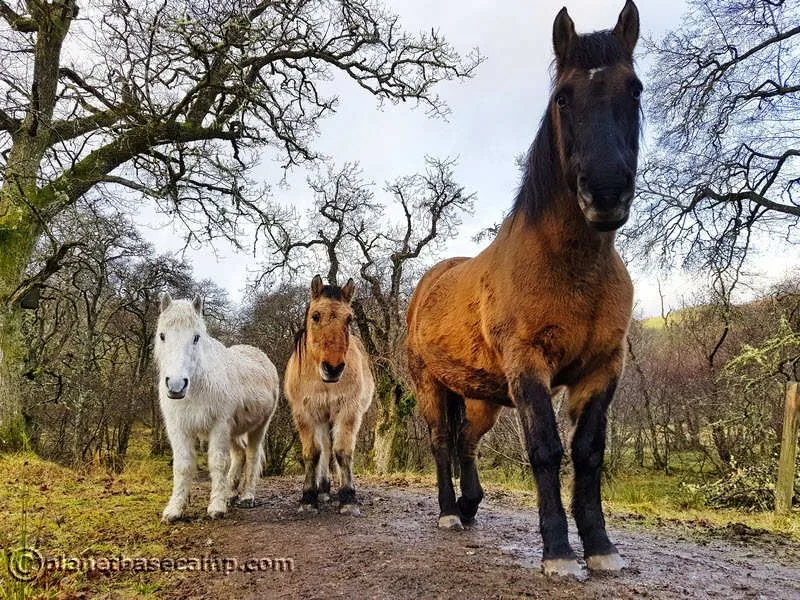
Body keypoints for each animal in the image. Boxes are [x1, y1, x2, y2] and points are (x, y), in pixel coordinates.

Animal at [155, 294, 279, 522]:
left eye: (196, 337)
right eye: (162, 336)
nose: (176, 385)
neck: (197, 386)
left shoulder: (219, 426)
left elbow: (218, 462)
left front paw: (217, 506)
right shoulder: (178, 428)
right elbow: (182, 465)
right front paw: (175, 509)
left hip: (259, 427)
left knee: (251, 455)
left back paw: (246, 496)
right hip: (234, 431)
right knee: (239, 455)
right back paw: (230, 492)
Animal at [285, 275, 375, 515]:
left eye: (349, 319)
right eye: (315, 316)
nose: (333, 368)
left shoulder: (348, 411)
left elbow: (343, 452)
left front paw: (348, 498)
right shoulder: (304, 413)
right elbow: (312, 453)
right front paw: (308, 498)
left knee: (332, 449)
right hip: (322, 418)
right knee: (324, 449)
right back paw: (323, 489)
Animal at [406, 0, 641, 578]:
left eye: (634, 89)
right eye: (563, 96)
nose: (606, 191)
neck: (570, 269)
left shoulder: (602, 369)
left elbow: (588, 453)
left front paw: (601, 548)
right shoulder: (528, 365)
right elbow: (546, 450)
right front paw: (558, 553)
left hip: (480, 398)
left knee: (466, 442)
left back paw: (469, 505)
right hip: (432, 387)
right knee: (442, 442)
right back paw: (449, 512)